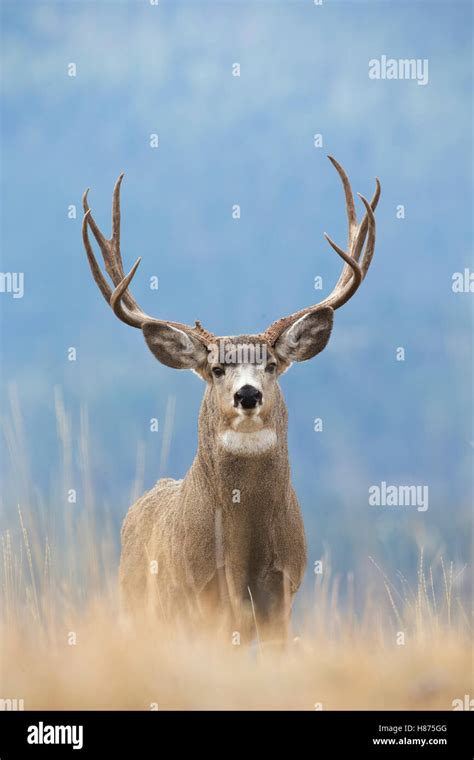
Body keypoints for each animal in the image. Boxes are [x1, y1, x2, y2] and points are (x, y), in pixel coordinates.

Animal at [80, 157, 378, 644]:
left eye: (271, 364)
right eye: (218, 368)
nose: (247, 393)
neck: (244, 554)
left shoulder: (283, 595)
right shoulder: (204, 600)